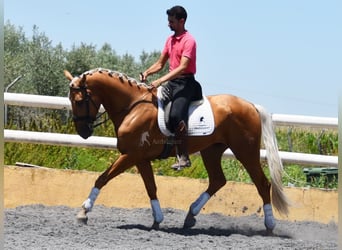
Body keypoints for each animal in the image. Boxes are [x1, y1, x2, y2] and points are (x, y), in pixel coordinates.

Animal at [63, 68, 288, 232]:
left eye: (79, 101)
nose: (83, 132)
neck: (133, 107)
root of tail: (251, 105)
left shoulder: (130, 155)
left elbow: (102, 178)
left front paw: (83, 212)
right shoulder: (140, 158)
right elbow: (151, 187)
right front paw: (157, 219)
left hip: (245, 151)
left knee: (262, 183)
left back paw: (269, 225)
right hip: (212, 151)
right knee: (217, 180)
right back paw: (190, 216)